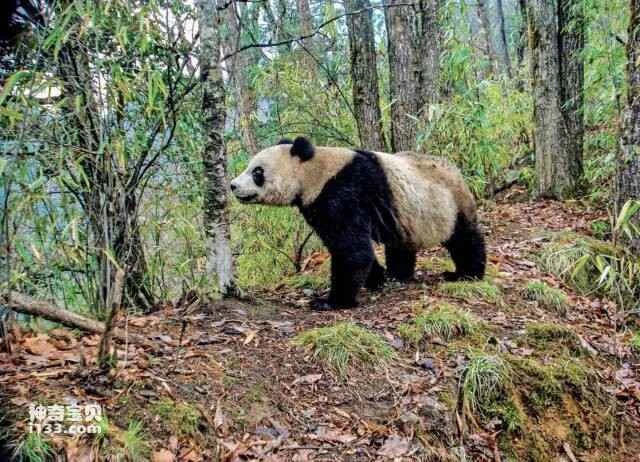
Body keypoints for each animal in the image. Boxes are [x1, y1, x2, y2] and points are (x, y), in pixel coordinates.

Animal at [230, 136, 486, 310]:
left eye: (257, 172)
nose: (233, 185)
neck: (313, 171)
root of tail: (457, 171)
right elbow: (350, 248)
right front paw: (377, 279)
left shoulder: (342, 191)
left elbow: (352, 249)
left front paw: (331, 301)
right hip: (406, 213)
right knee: (400, 243)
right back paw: (398, 274)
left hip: (449, 203)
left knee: (465, 238)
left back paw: (467, 274)